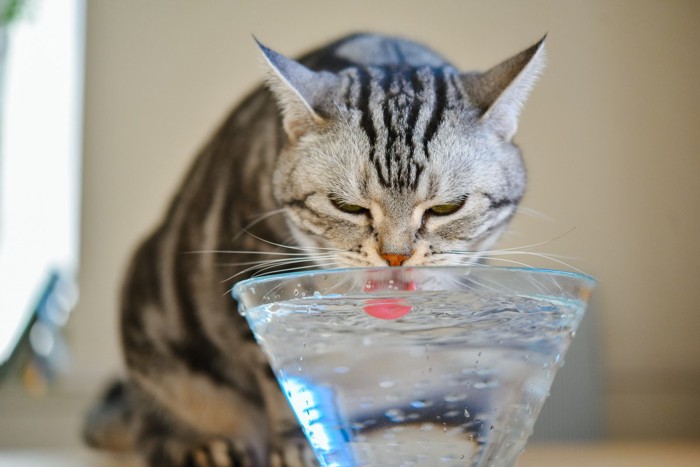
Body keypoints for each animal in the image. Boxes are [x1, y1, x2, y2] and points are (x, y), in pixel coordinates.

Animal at [83, 33, 548, 467]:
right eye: (348, 207)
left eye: (447, 208)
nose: (395, 256)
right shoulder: (252, 281)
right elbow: (286, 391)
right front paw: (300, 449)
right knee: (159, 430)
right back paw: (204, 446)